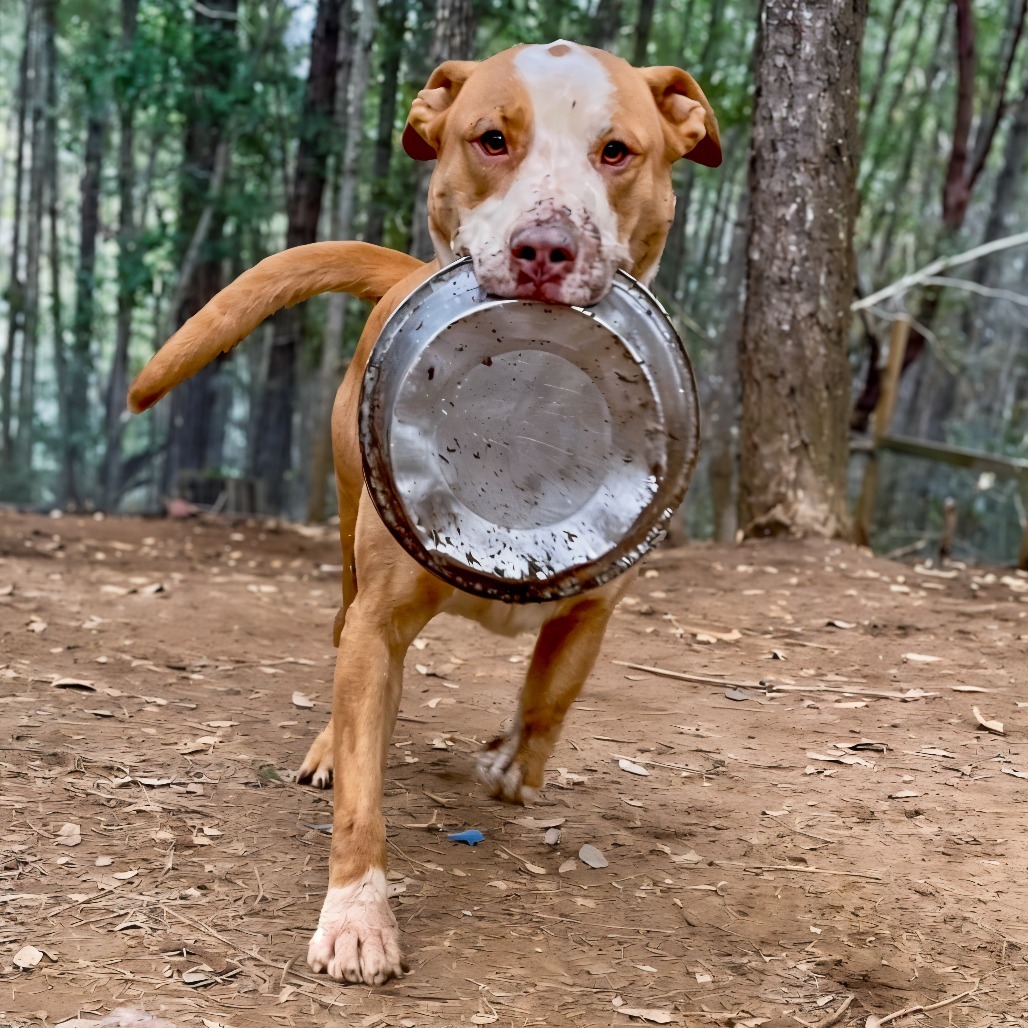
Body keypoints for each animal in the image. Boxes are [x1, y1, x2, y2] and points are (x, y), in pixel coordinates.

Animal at [126, 42, 723, 986]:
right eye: (491, 139)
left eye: (617, 152)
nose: (544, 248)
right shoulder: (382, 618)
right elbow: (364, 793)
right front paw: (357, 916)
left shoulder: (595, 606)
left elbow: (547, 699)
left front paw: (513, 765)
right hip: (347, 534)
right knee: (341, 641)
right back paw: (330, 747)